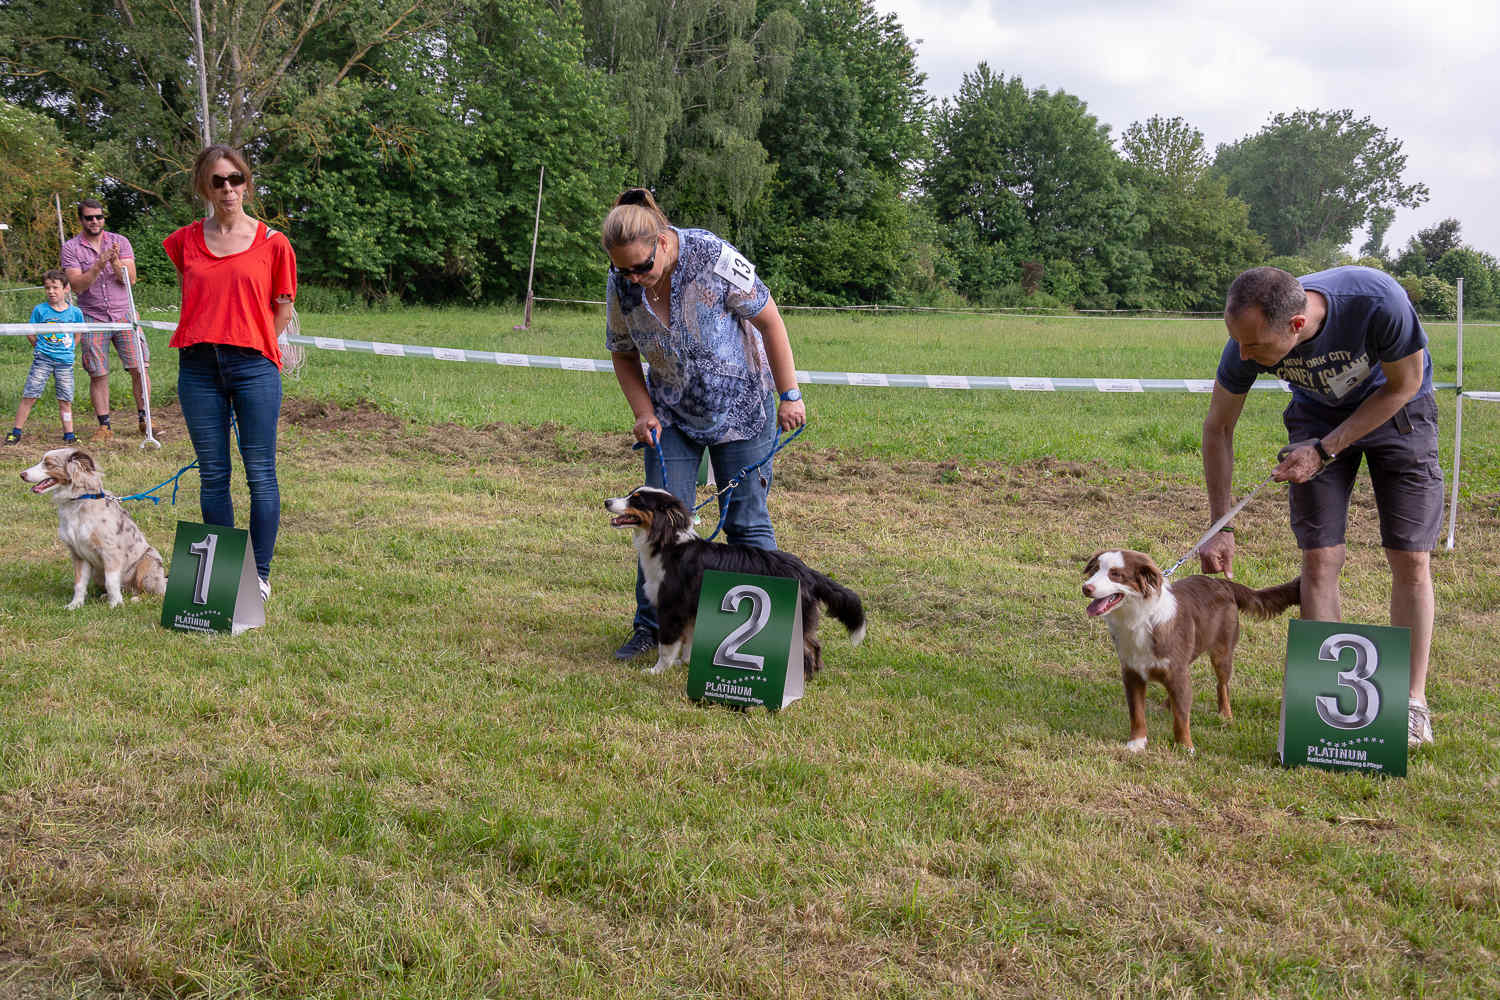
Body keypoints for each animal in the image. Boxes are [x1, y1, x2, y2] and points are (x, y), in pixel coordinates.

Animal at [606, 485, 870, 677]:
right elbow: (688, 641)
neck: (668, 544)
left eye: (637, 500)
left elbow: (667, 646)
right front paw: (686, 663)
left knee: (807, 647)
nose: (606, 501)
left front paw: (656, 670)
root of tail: (807, 571)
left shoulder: (672, 608)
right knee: (814, 644)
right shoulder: (691, 610)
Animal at [1080, 551, 1302, 755]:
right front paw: (1137, 743)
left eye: (1116, 574)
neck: (1141, 619)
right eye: (1094, 569)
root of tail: (1223, 583)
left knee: (1222, 685)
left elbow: (1181, 716)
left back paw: (1225, 715)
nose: (1085, 588)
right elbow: (1137, 714)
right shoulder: (1132, 673)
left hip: (1222, 653)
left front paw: (1185, 747)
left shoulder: (1176, 672)